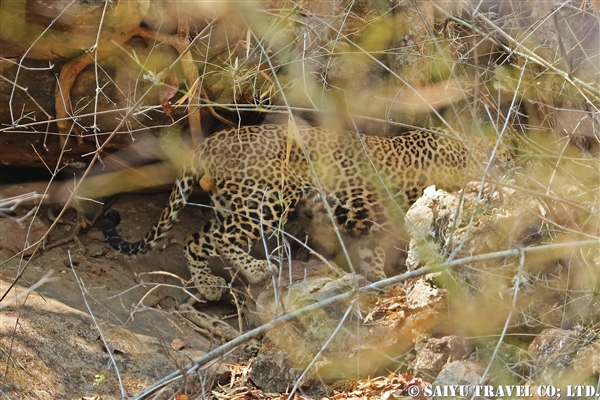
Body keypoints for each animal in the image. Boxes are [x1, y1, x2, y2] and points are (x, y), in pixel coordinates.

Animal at [101, 123, 504, 302]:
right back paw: (255, 270)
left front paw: (375, 283)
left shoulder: (374, 223)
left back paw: (211, 283)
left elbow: (372, 255)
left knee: (197, 237)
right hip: (263, 200)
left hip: (231, 203)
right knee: (216, 240)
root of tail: (215, 139)